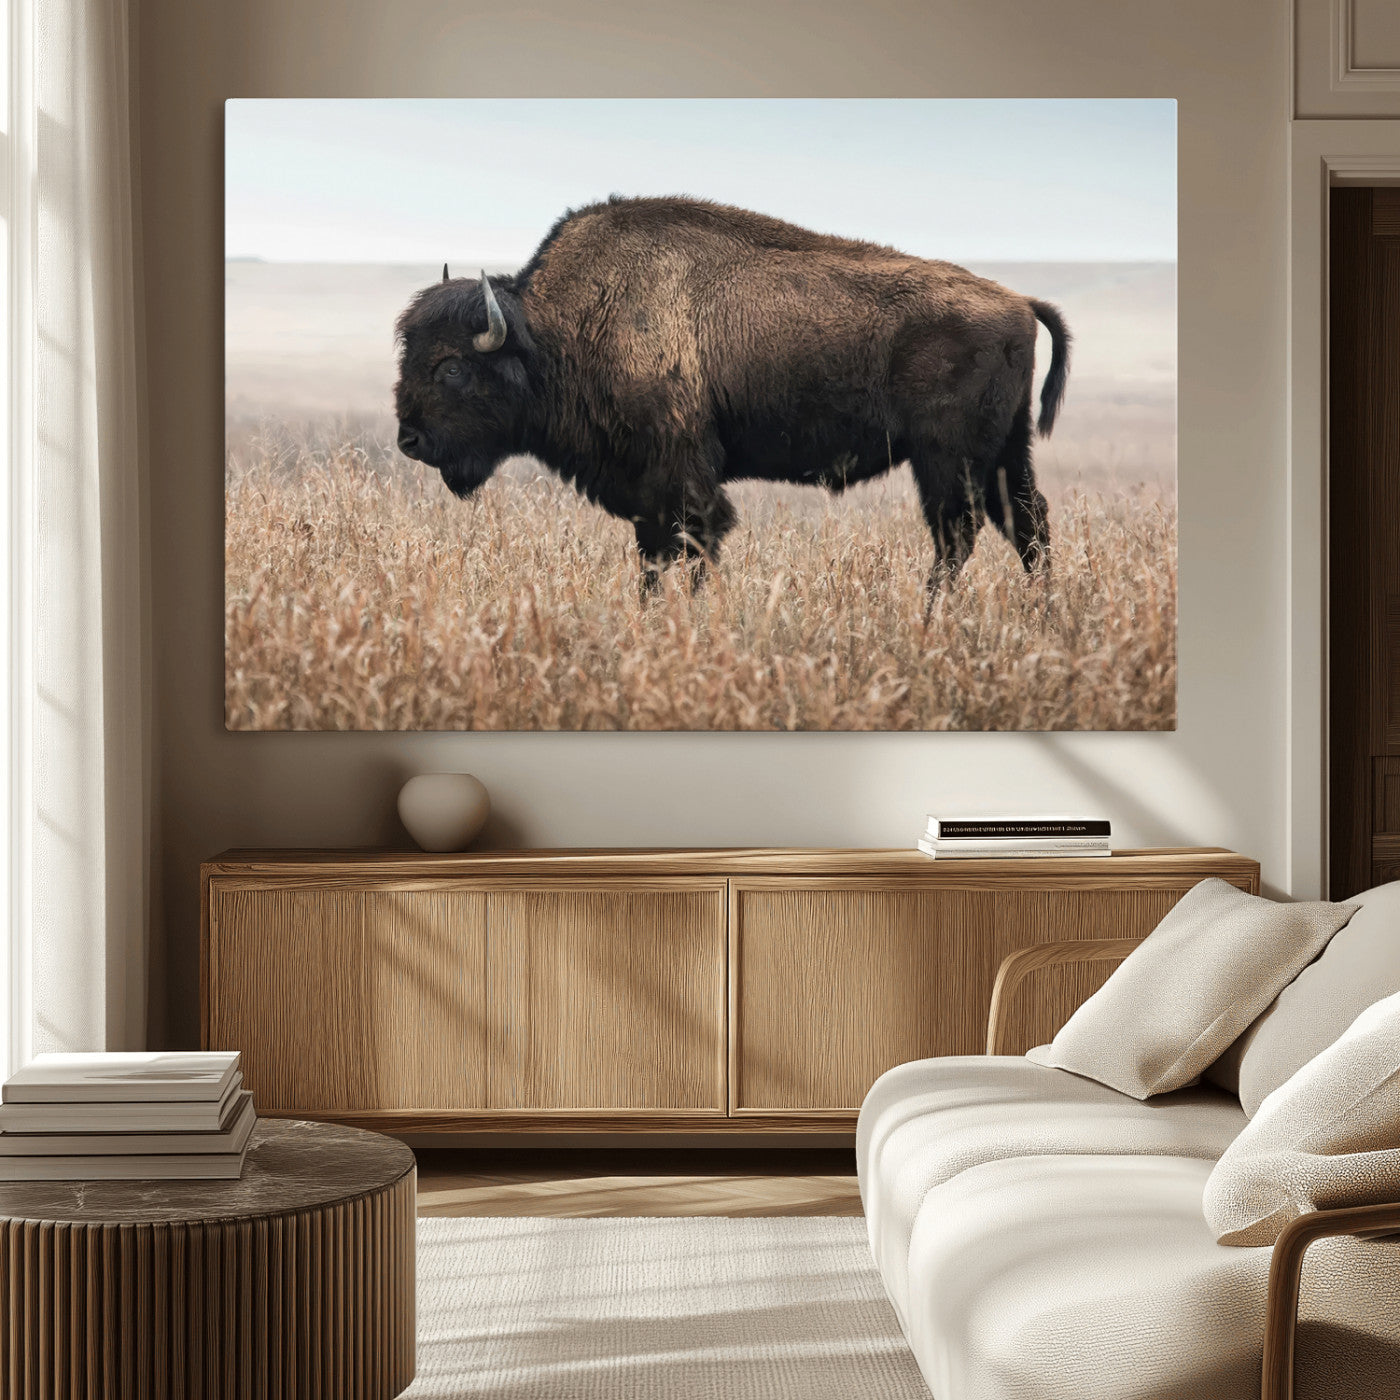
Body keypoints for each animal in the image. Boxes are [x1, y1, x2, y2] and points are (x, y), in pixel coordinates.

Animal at [394, 195, 1069, 596]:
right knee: (1027, 525)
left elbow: (692, 545)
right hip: (1005, 454)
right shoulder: (647, 492)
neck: (555, 331)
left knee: (958, 534)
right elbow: (654, 557)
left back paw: (932, 616)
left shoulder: (682, 479)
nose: (409, 440)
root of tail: (1017, 301)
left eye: (451, 367)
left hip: (946, 459)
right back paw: (1041, 616)